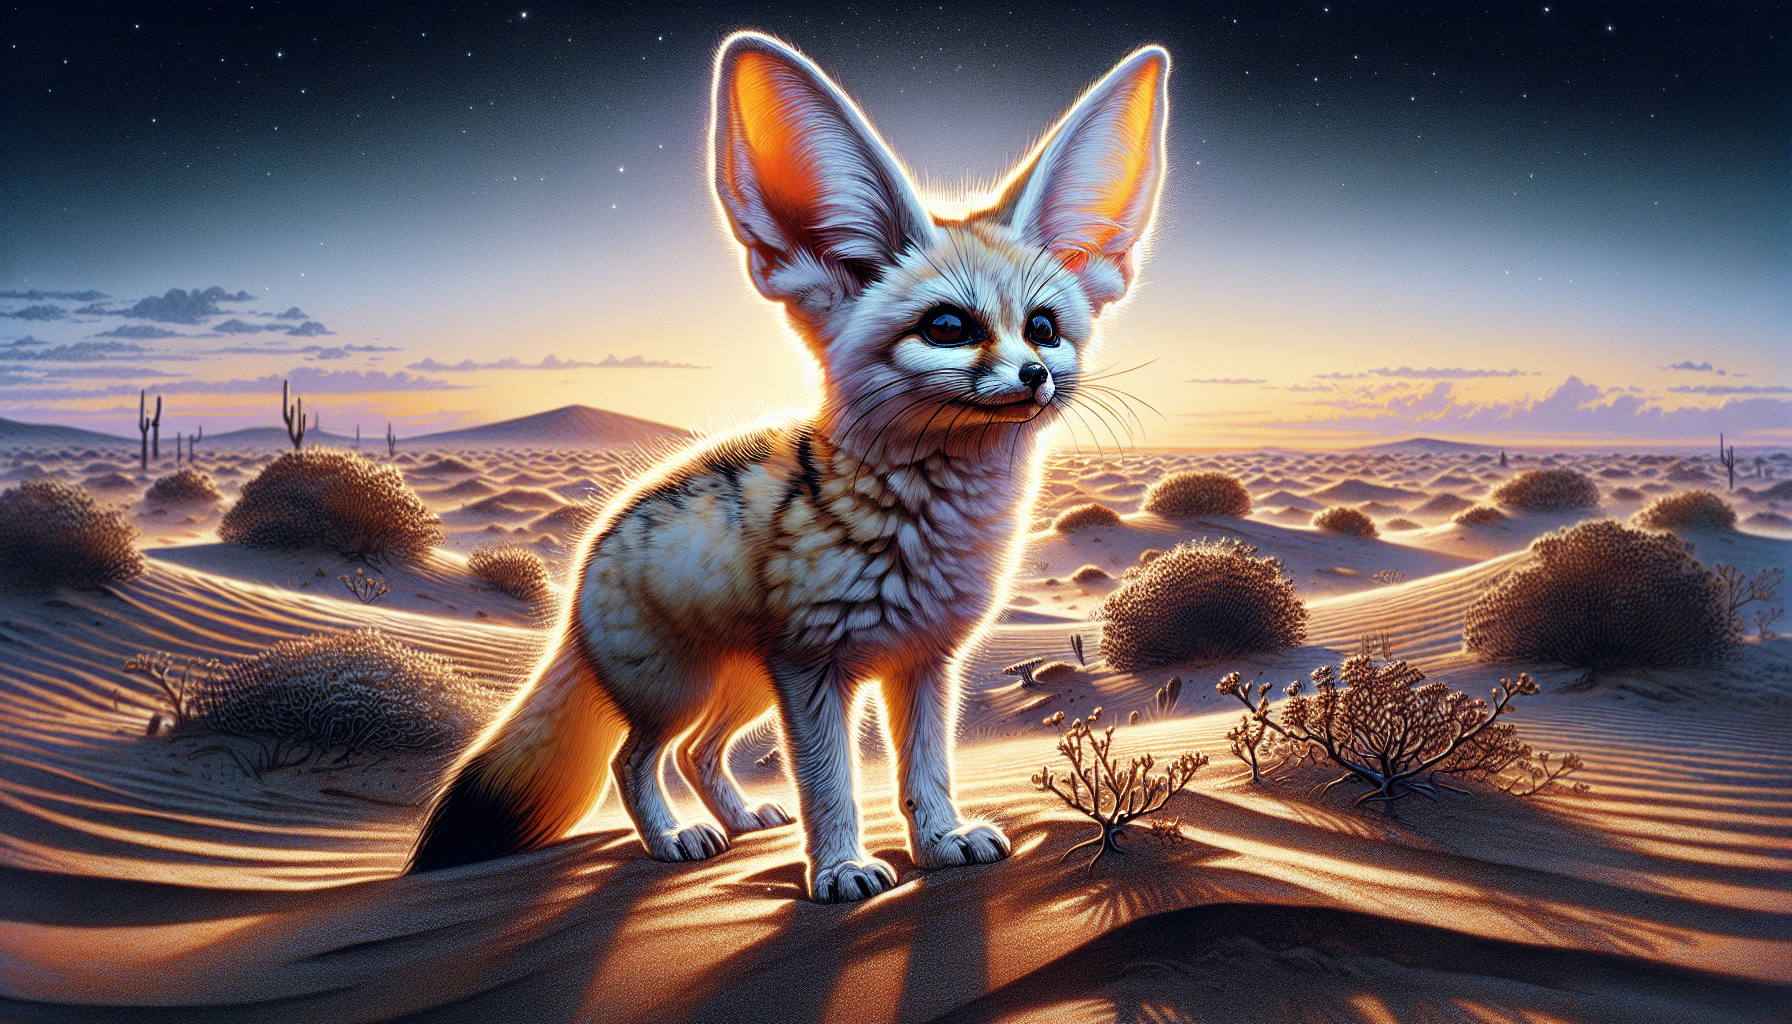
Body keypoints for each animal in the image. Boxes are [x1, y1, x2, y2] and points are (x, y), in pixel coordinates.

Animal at [408, 31, 1169, 903]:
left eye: (1043, 328)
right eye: (948, 327)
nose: (1035, 376)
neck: (931, 523)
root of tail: (587, 558)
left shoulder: (926, 664)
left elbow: (927, 771)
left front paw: (940, 842)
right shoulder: (813, 669)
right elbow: (831, 783)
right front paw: (839, 869)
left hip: (738, 688)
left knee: (699, 752)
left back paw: (741, 820)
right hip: (682, 690)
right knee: (633, 760)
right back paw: (674, 839)